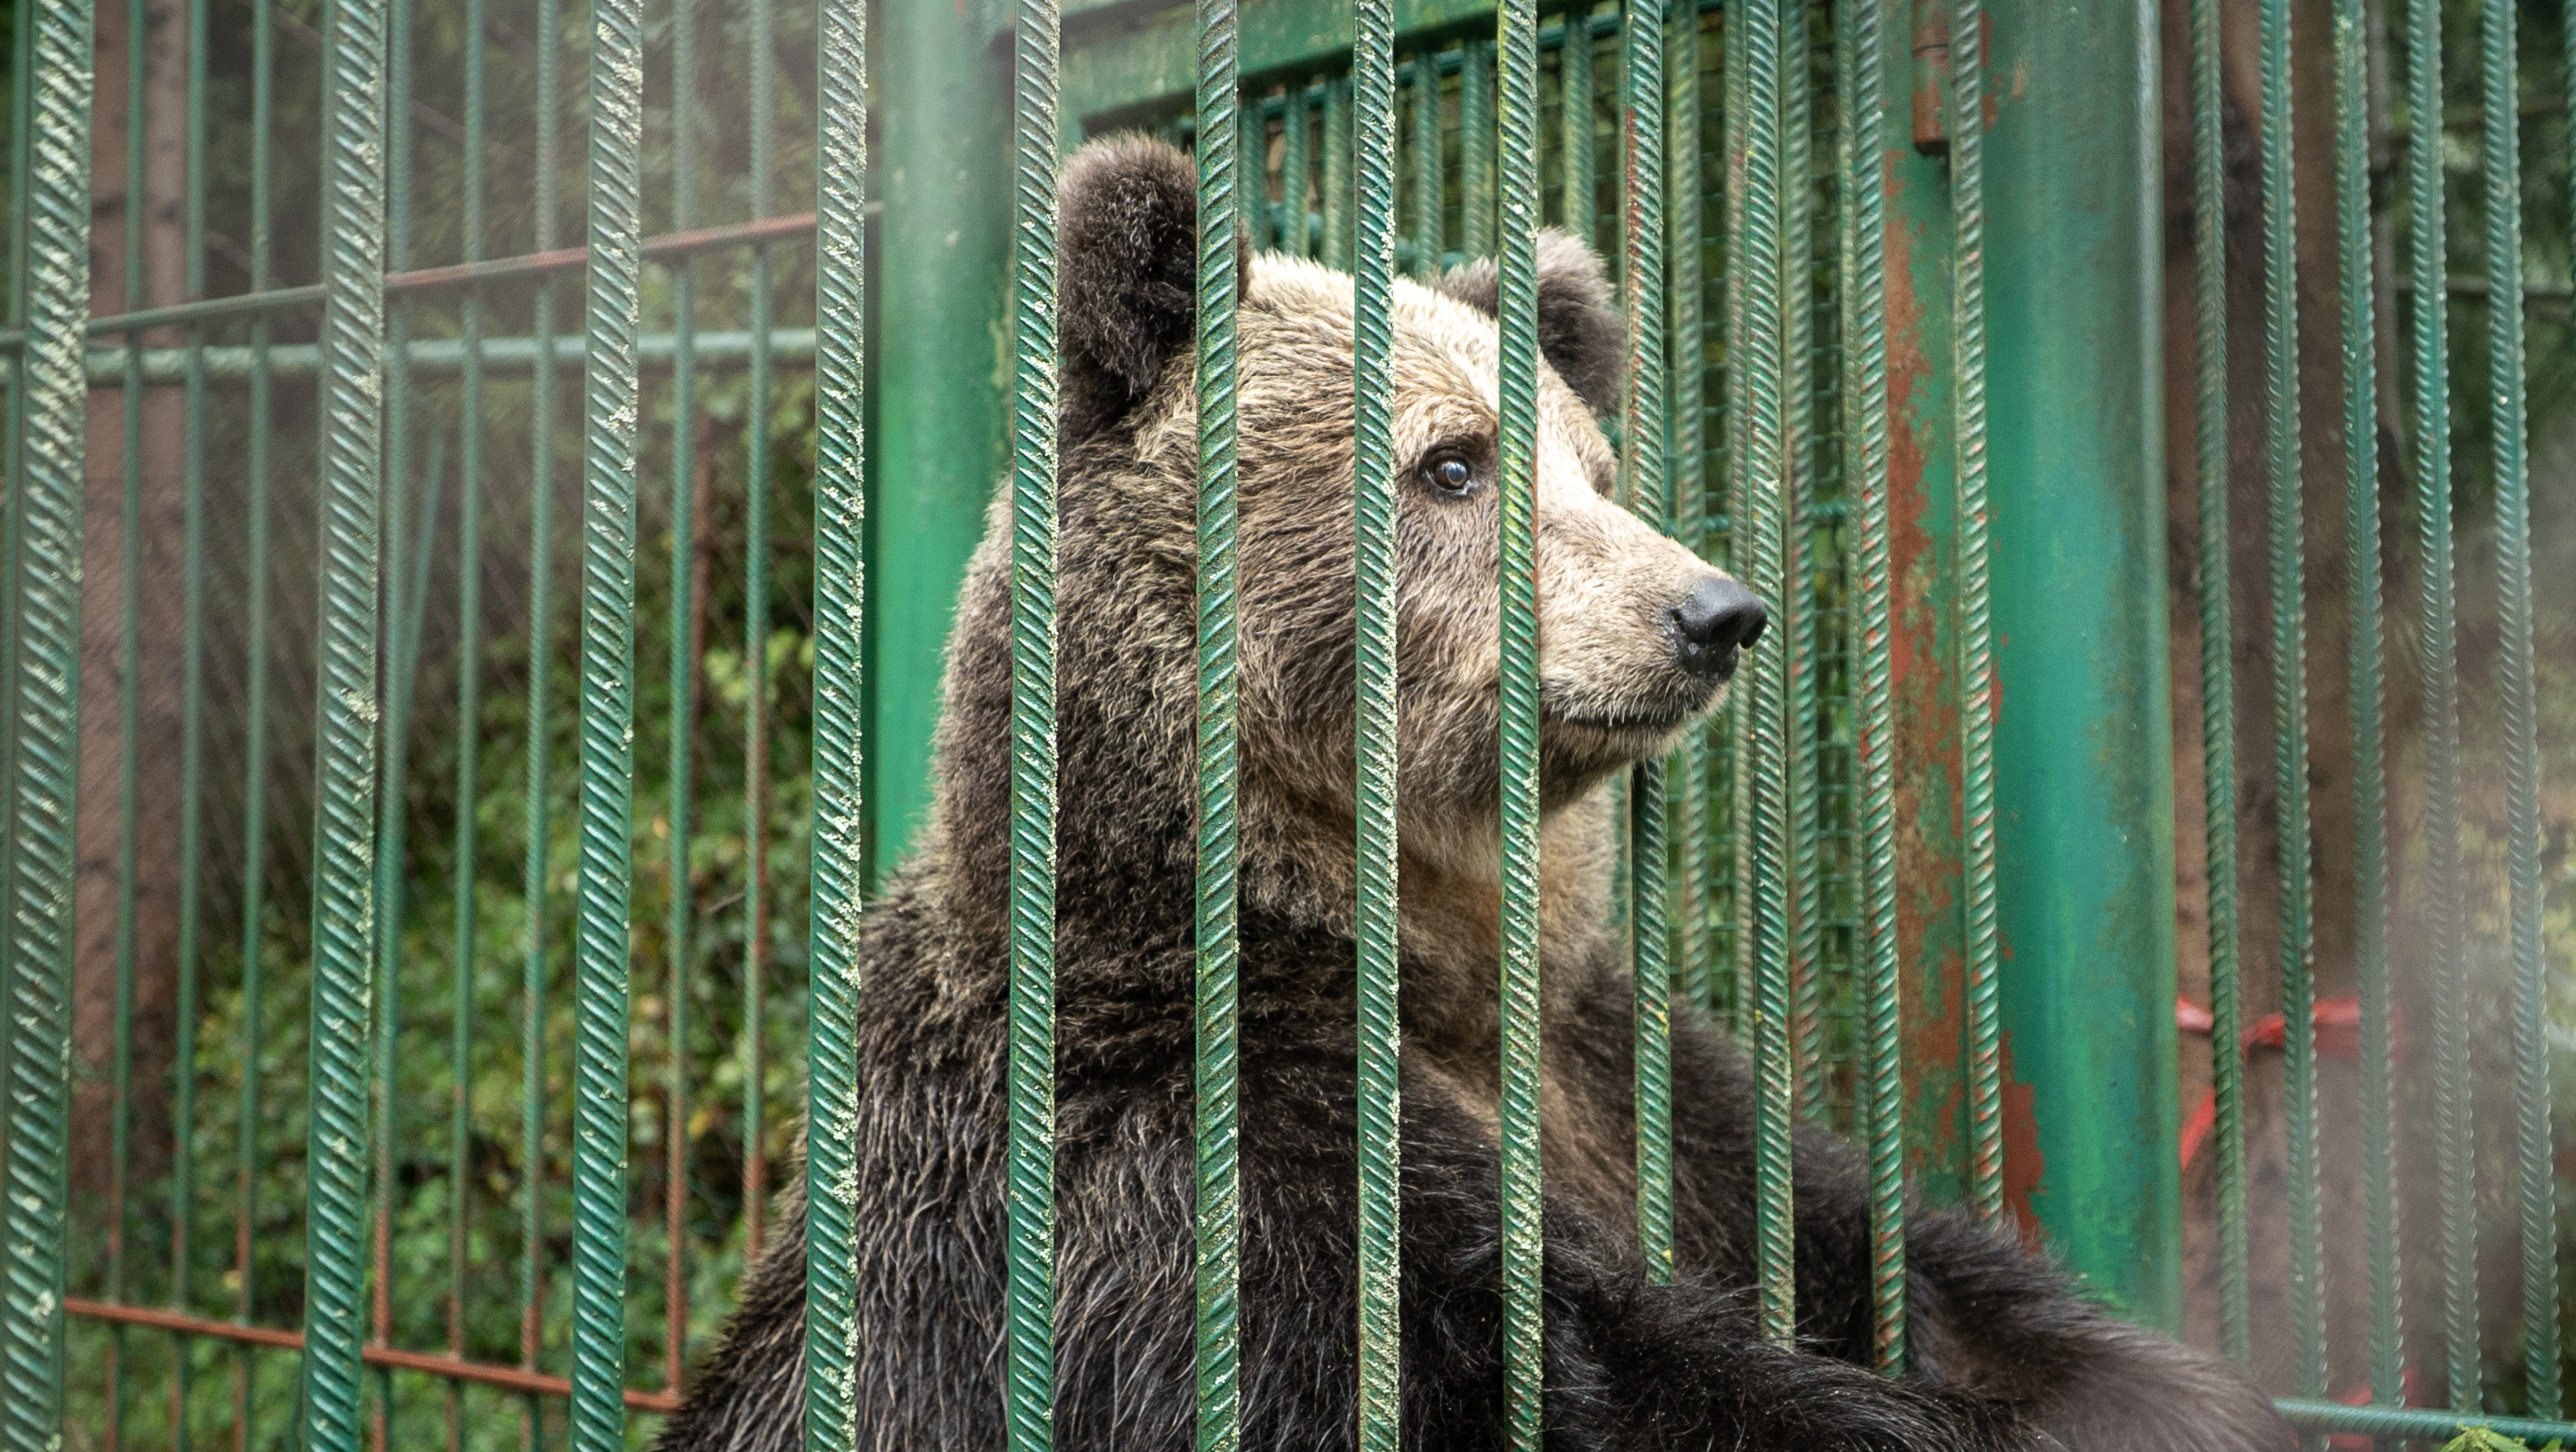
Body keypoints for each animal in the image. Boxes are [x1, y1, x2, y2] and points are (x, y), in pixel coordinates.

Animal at [654, 136, 2288, 1451]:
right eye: (1453, 463)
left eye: (1596, 468)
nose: (1713, 612)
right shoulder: (1190, 1170)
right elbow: (1578, 1373)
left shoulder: (1634, 1085)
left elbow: (1916, 1271)